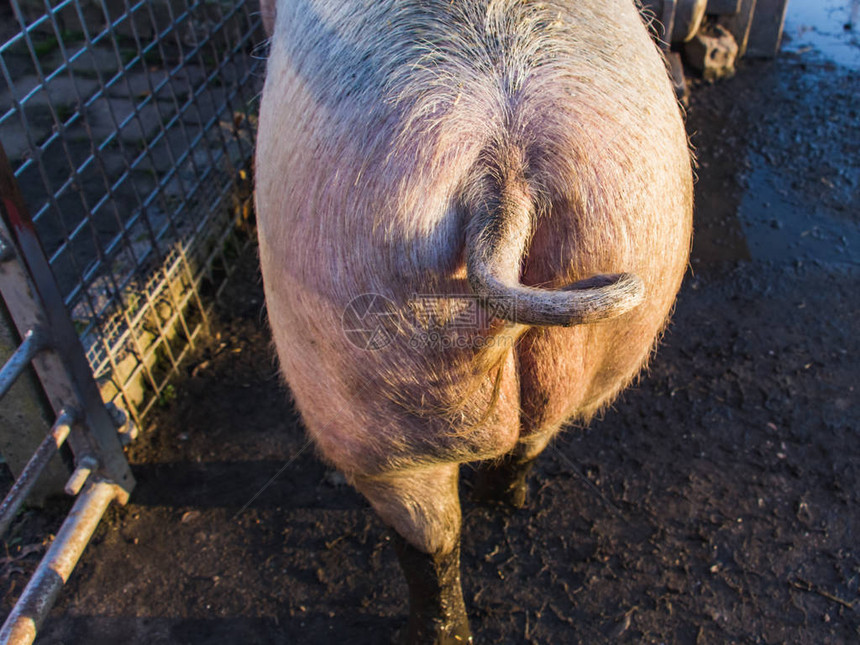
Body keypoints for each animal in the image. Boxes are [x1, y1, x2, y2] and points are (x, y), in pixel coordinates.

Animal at [254, 2, 692, 640]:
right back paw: (503, 498)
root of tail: (501, 177)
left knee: (429, 536)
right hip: (628, 286)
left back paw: (433, 628)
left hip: (376, 382)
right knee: (536, 434)